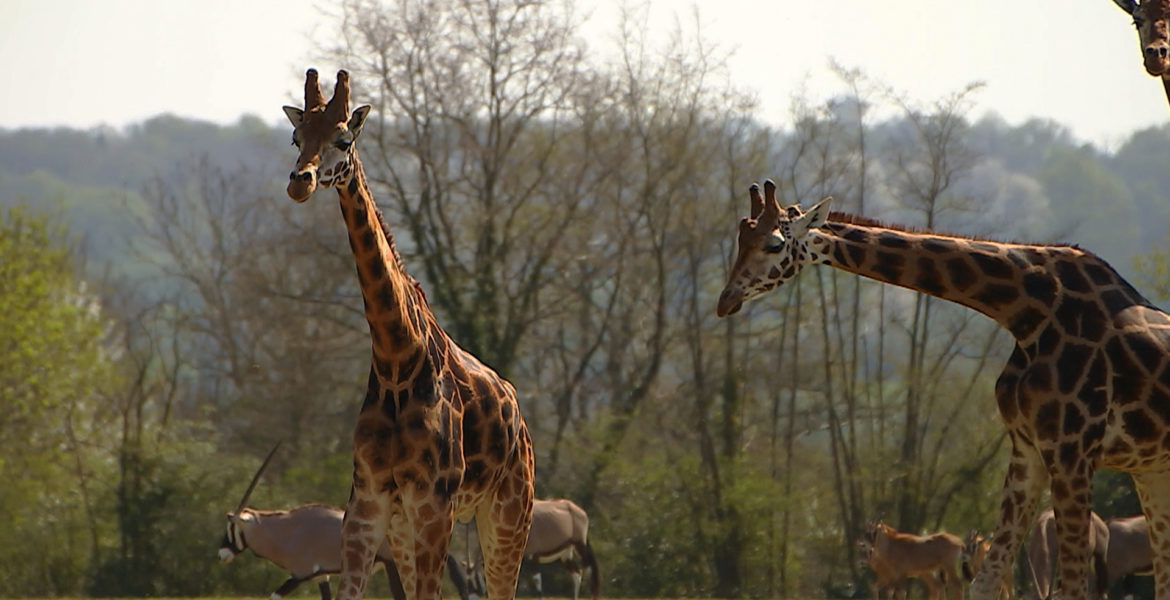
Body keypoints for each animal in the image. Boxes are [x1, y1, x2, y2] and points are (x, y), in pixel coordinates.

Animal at [217, 442, 467, 598]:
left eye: (232, 526)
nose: (221, 554)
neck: (285, 530)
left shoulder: (300, 573)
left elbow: (274, 596)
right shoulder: (322, 576)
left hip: (393, 565)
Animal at [280, 70, 535, 598]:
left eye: (344, 139)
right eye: (296, 137)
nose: (301, 182)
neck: (395, 358)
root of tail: (520, 418)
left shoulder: (433, 505)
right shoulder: (368, 503)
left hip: (509, 512)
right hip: (413, 526)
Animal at [465, 498, 599, 598]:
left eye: (475, 578)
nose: (471, 596)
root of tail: (581, 512)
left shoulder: (534, 556)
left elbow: (537, 582)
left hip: (580, 546)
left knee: (588, 570)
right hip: (565, 554)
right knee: (577, 574)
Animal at [716, 178, 1170, 600]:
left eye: (774, 244)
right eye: (740, 238)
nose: (725, 301)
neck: (1027, 311)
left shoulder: (1072, 453)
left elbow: (1071, 589)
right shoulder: (1028, 451)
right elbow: (983, 585)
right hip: (1150, 470)